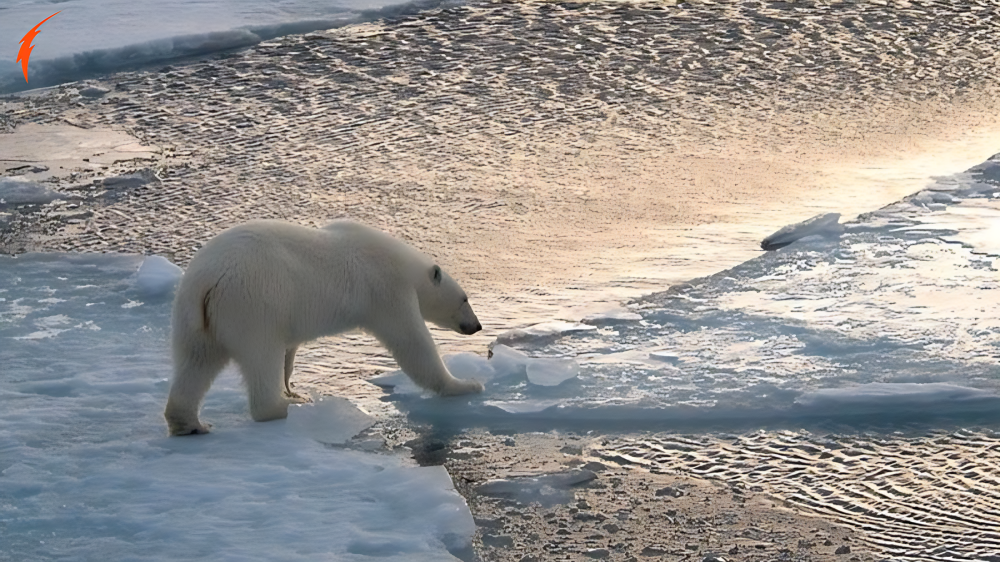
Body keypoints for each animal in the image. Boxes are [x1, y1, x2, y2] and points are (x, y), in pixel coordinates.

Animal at [165, 218, 484, 434]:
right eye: (465, 299)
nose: (477, 326)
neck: (402, 264)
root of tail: (207, 280)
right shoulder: (386, 291)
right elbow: (412, 344)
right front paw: (466, 384)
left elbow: (290, 349)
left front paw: (292, 387)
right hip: (251, 304)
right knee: (260, 356)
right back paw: (281, 407)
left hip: (196, 317)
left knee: (196, 362)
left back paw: (189, 423)